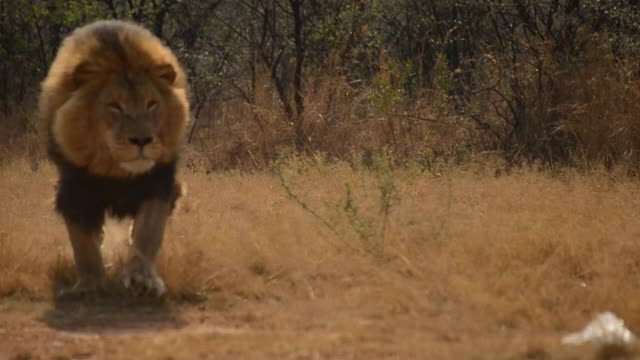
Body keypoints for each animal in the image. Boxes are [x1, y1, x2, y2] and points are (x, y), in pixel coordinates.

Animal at [39, 18, 190, 296]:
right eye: (115, 106)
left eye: (151, 104)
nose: (142, 140)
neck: (116, 171)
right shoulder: (75, 189)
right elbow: (83, 244)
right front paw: (89, 283)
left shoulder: (158, 183)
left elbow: (147, 233)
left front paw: (141, 279)